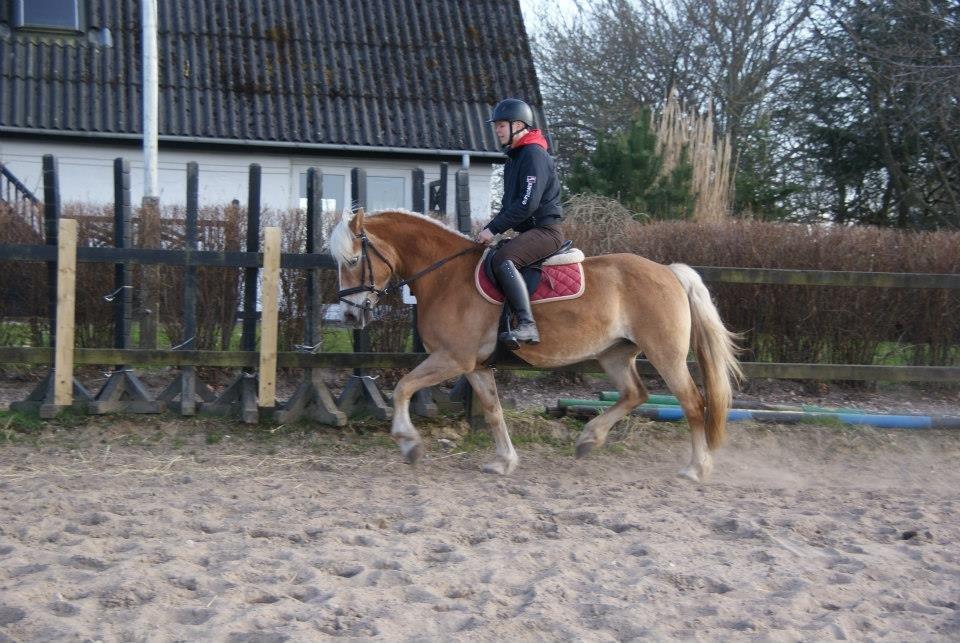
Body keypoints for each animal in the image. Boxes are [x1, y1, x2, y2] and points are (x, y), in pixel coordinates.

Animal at [330, 209, 744, 480]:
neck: (446, 276)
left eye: (352, 260)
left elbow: (402, 387)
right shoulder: (474, 366)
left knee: (693, 403)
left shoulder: (452, 359)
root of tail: (669, 272)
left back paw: (696, 468)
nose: (348, 316)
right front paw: (504, 461)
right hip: (614, 354)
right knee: (635, 394)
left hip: (665, 355)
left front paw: (409, 443)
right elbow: (493, 411)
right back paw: (589, 439)